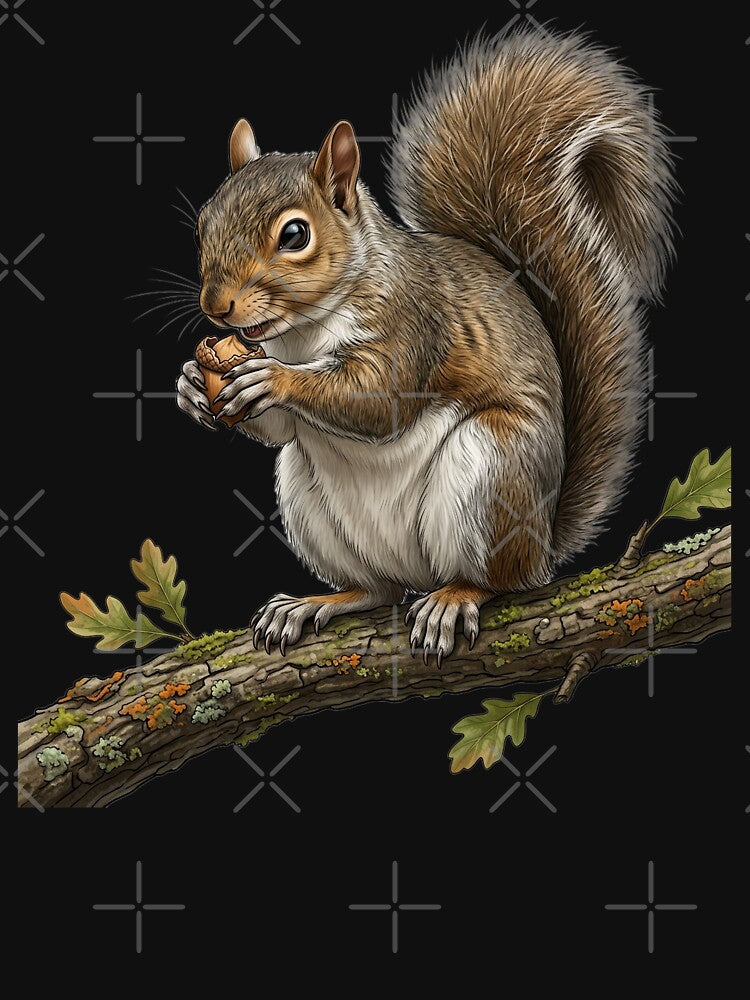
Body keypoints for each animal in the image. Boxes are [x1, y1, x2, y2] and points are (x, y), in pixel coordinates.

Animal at [177, 28, 675, 664]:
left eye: (295, 234)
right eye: (202, 224)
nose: (216, 307)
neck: (305, 330)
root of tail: (542, 543)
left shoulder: (416, 324)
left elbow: (379, 400)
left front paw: (275, 379)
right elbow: (280, 428)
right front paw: (193, 385)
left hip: (493, 470)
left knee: (499, 581)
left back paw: (453, 599)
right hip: (308, 499)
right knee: (380, 590)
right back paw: (318, 602)